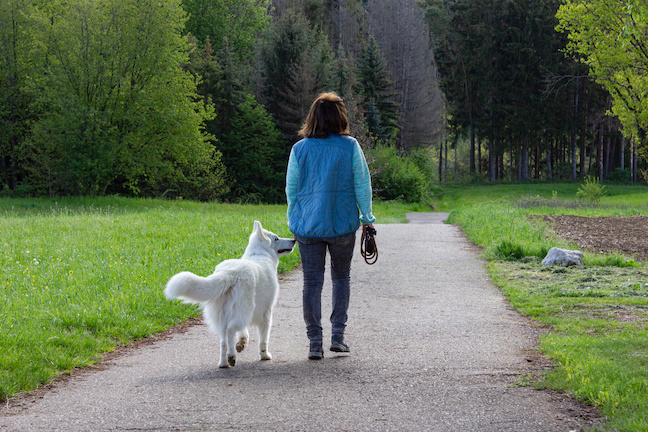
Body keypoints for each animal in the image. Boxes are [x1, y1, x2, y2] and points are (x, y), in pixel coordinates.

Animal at [163, 223, 294, 368]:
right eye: (276, 238)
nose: (294, 240)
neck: (259, 253)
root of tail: (229, 273)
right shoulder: (266, 313)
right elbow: (263, 339)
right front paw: (264, 355)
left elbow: (243, 333)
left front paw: (242, 343)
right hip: (244, 311)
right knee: (230, 331)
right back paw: (231, 356)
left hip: (225, 317)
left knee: (223, 340)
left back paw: (224, 362)